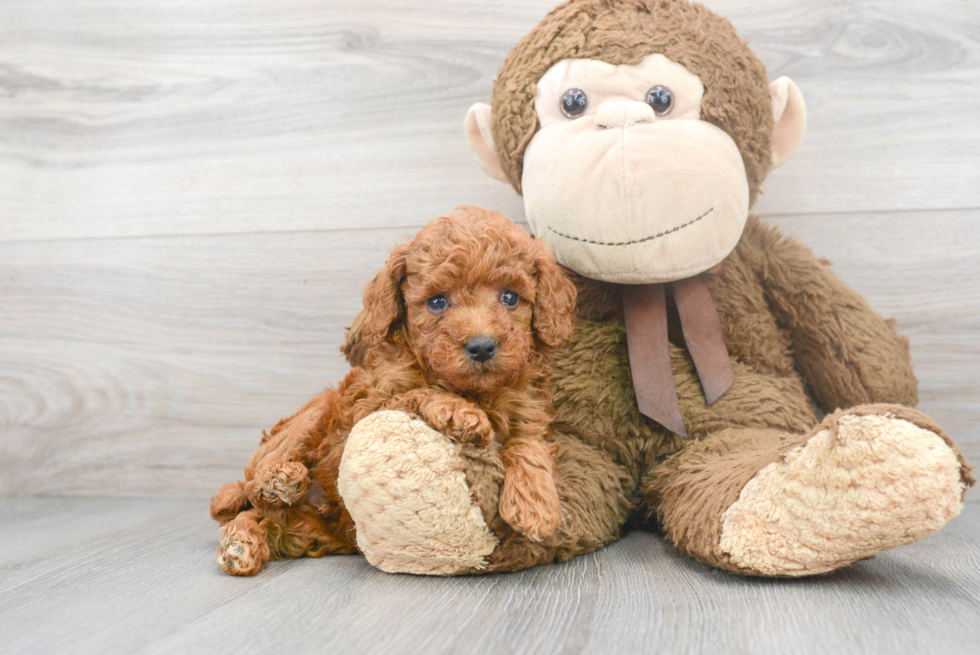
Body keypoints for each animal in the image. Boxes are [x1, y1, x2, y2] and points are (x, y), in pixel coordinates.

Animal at [207, 208, 576, 576]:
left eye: (510, 297)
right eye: (437, 302)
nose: (482, 346)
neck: (473, 390)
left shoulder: (529, 410)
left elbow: (529, 445)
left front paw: (535, 505)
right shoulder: (369, 403)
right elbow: (418, 391)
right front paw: (459, 412)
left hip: (308, 532)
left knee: (264, 518)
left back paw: (247, 539)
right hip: (311, 417)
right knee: (249, 491)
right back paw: (273, 488)